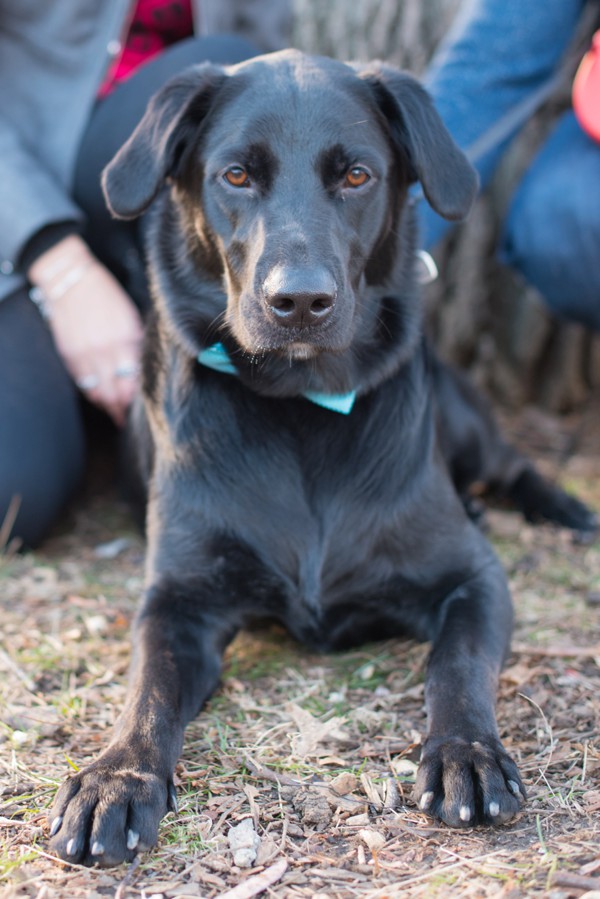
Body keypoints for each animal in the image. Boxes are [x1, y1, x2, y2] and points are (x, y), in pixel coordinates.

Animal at [49, 51, 592, 872]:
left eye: (358, 176)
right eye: (236, 175)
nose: (299, 301)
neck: (302, 407)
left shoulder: (474, 578)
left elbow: (457, 663)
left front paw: (464, 750)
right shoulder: (176, 598)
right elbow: (146, 689)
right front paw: (117, 776)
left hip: (465, 420)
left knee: (509, 466)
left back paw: (566, 509)